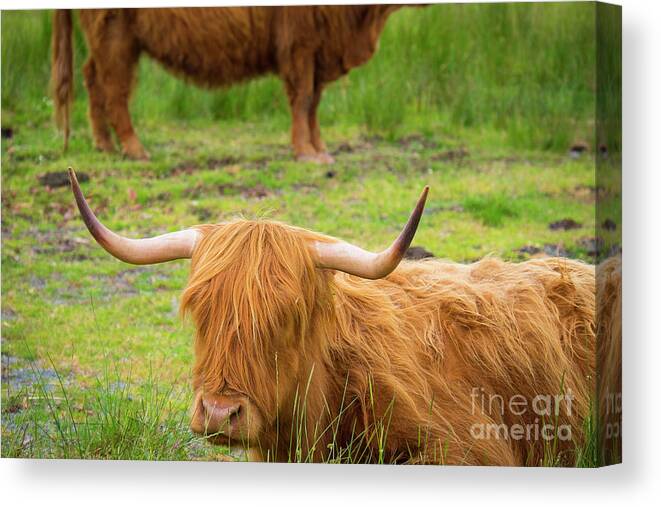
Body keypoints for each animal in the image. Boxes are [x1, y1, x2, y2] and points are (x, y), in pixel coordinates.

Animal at [51, 6, 402, 165]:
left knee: (94, 80)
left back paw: (105, 145)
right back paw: (135, 150)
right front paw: (306, 153)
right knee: (114, 89)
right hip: (116, 36)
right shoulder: (299, 47)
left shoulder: (316, 52)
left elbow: (312, 103)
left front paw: (321, 149)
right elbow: (302, 99)